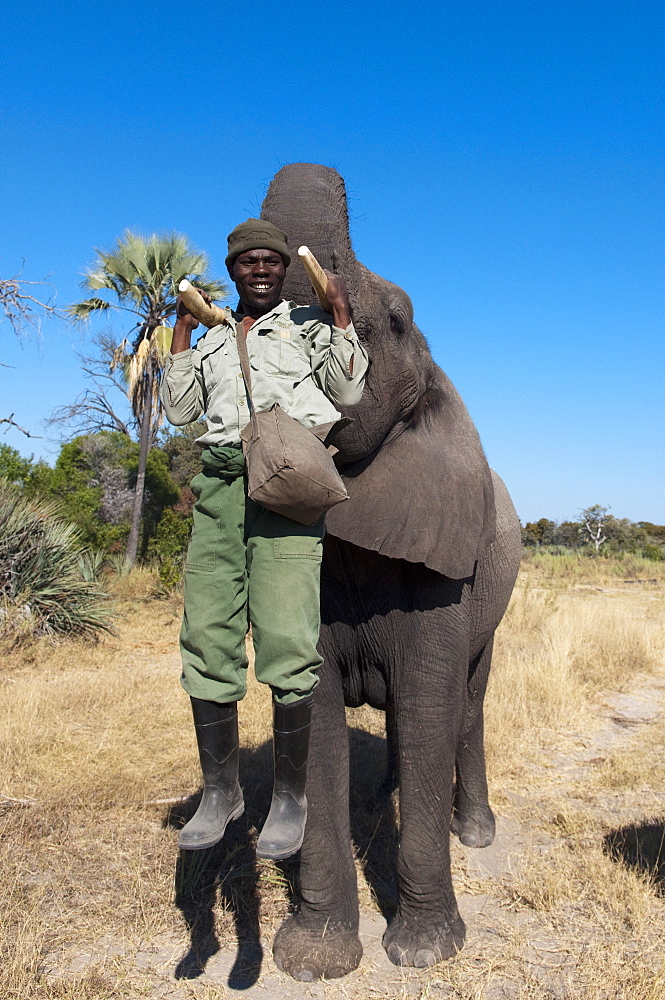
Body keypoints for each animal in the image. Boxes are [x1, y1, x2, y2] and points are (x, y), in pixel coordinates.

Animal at [256, 162, 520, 976]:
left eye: (397, 321)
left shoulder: (446, 563)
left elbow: (433, 704)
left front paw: (425, 953)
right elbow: (312, 717)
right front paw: (314, 960)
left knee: (465, 704)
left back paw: (474, 833)